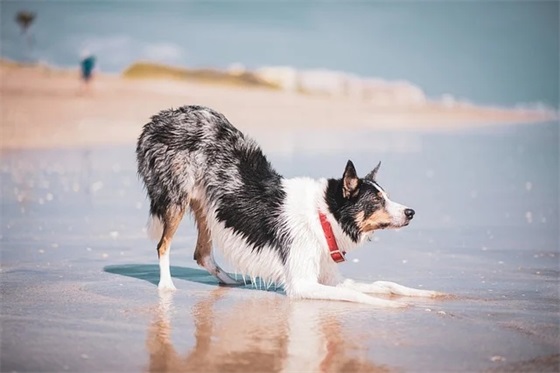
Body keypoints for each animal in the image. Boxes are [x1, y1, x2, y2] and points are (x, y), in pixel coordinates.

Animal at [136, 104, 442, 306]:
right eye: (377, 200)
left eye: (386, 196)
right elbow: (356, 294)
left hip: (206, 206)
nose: (411, 212)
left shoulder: (330, 278)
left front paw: (427, 294)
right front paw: (393, 306)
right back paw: (167, 285)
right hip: (177, 199)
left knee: (202, 254)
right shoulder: (302, 284)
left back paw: (231, 281)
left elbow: (385, 284)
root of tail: (159, 118)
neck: (324, 216)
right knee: (163, 244)